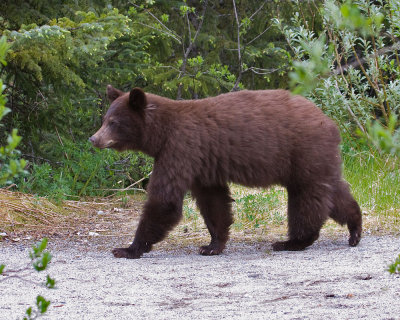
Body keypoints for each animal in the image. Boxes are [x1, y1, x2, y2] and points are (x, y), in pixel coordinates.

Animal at [88, 84, 362, 258]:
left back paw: (291, 242)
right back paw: (355, 229)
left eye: (114, 122)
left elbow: (165, 200)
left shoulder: (180, 149)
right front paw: (212, 245)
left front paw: (128, 249)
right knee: (334, 193)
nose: (94, 139)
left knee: (307, 199)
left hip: (303, 154)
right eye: (104, 119)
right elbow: (214, 202)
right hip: (316, 160)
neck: (161, 133)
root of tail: (330, 123)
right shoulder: (202, 165)